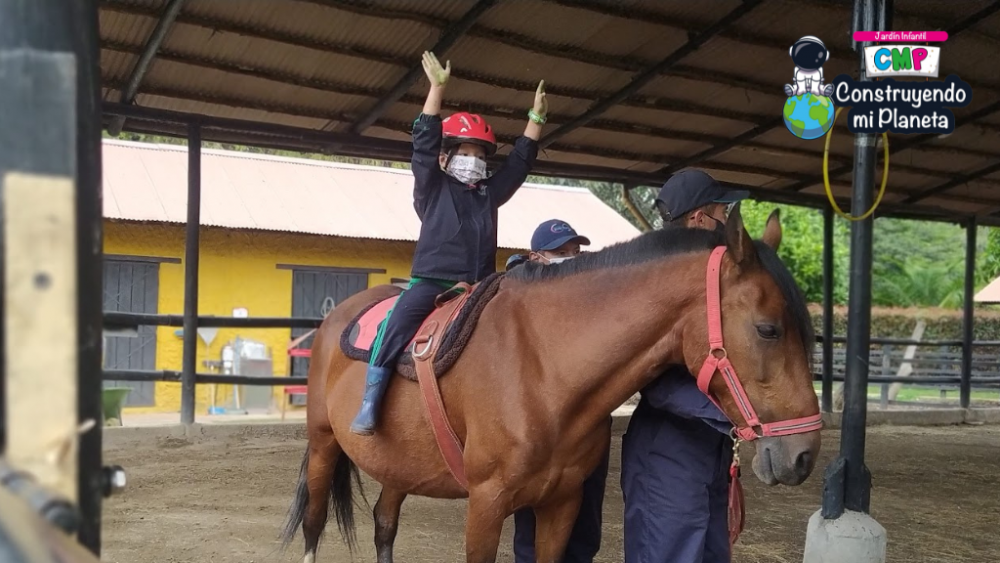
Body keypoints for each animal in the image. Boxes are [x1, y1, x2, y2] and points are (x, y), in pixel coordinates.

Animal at [280, 207, 820, 563]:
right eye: (768, 329)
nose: (804, 455)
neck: (543, 366)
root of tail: (336, 319)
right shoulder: (486, 504)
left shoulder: (561, 505)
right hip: (324, 446)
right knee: (314, 524)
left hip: (398, 466)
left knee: (384, 526)